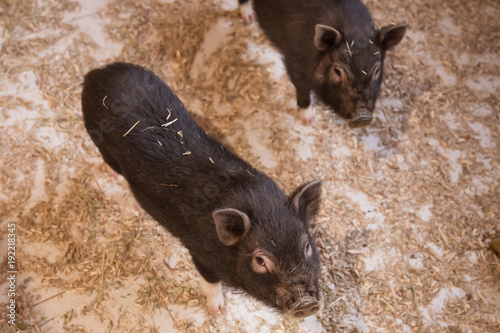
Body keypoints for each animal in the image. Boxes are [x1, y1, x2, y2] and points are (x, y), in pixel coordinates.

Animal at [81, 61, 324, 316]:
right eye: (260, 260)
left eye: (307, 246)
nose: (306, 304)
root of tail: (98, 72)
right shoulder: (199, 253)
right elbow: (211, 281)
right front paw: (218, 312)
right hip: (98, 139)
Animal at [240, 0, 408, 127]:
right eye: (337, 71)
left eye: (377, 70)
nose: (363, 117)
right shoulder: (294, 63)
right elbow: (302, 91)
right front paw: (309, 121)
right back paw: (248, 18)